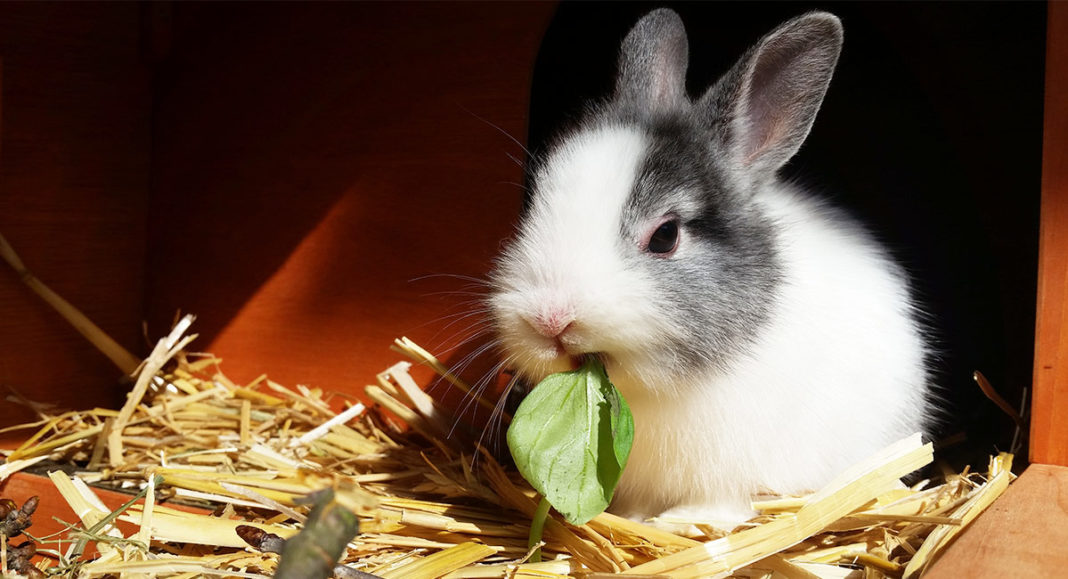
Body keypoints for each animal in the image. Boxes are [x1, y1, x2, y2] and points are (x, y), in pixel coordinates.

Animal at [488, 8, 931, 529]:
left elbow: (721, 504)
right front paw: (637, 518)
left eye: (665, 236)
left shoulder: (732, 472)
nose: (550, 320)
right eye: (535, 204)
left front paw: (677, 522)